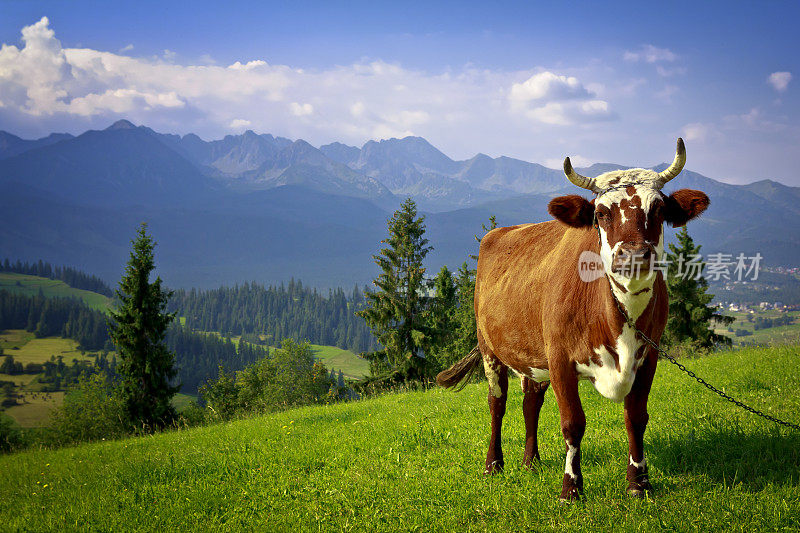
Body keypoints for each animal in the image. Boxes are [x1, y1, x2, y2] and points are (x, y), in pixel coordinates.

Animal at [434, 139, 708, 500]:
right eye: (601, 214)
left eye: (660, 210)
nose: (633, 255)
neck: (619, 322)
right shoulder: (560, 358)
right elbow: (573, 423)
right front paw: (571, 489)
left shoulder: (649, 355)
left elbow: (636, 416)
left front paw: (639, 483)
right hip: (490, 347)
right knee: (497, 403)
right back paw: (494, 464)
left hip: (532, 354)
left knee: (531, 402)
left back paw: (531, 461)